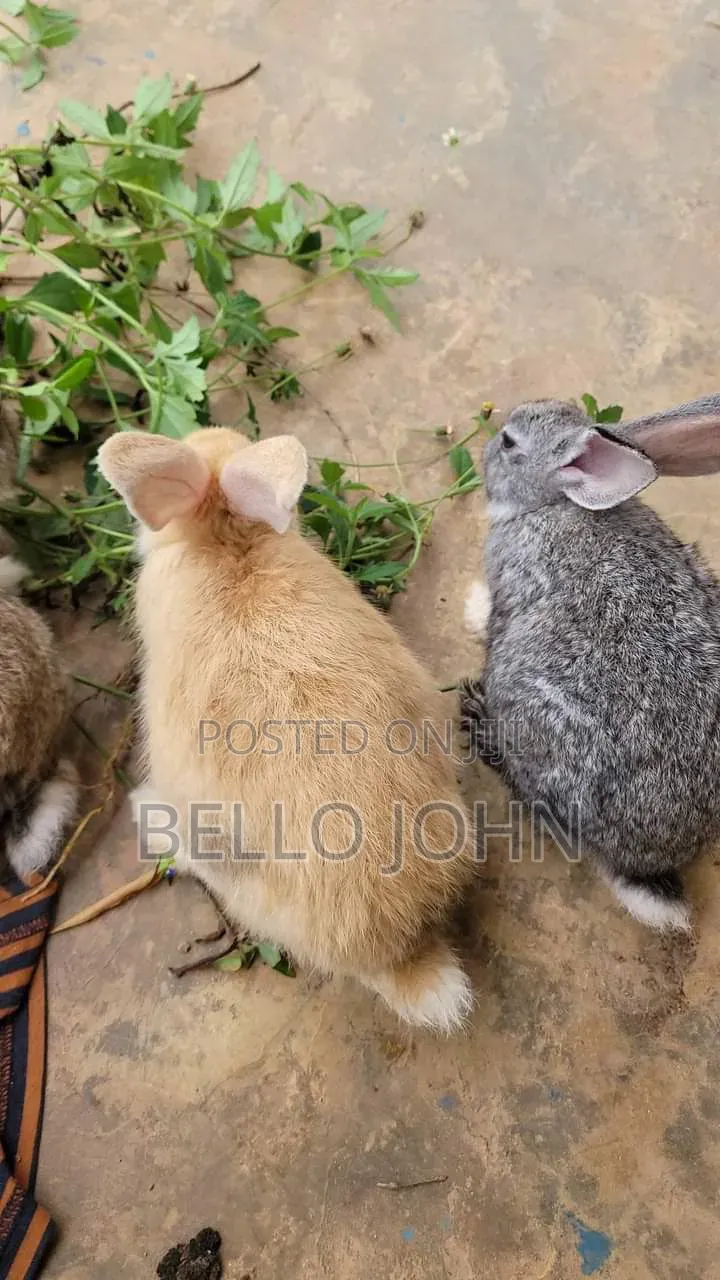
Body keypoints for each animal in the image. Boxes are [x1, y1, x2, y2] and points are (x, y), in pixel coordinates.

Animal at [460, 394, 720, 932]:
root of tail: (645, 862)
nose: (486, 450)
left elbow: (492, 618)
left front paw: (470, 610)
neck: (556, 503)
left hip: (528, 713)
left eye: (510, 443)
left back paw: (478, 724)